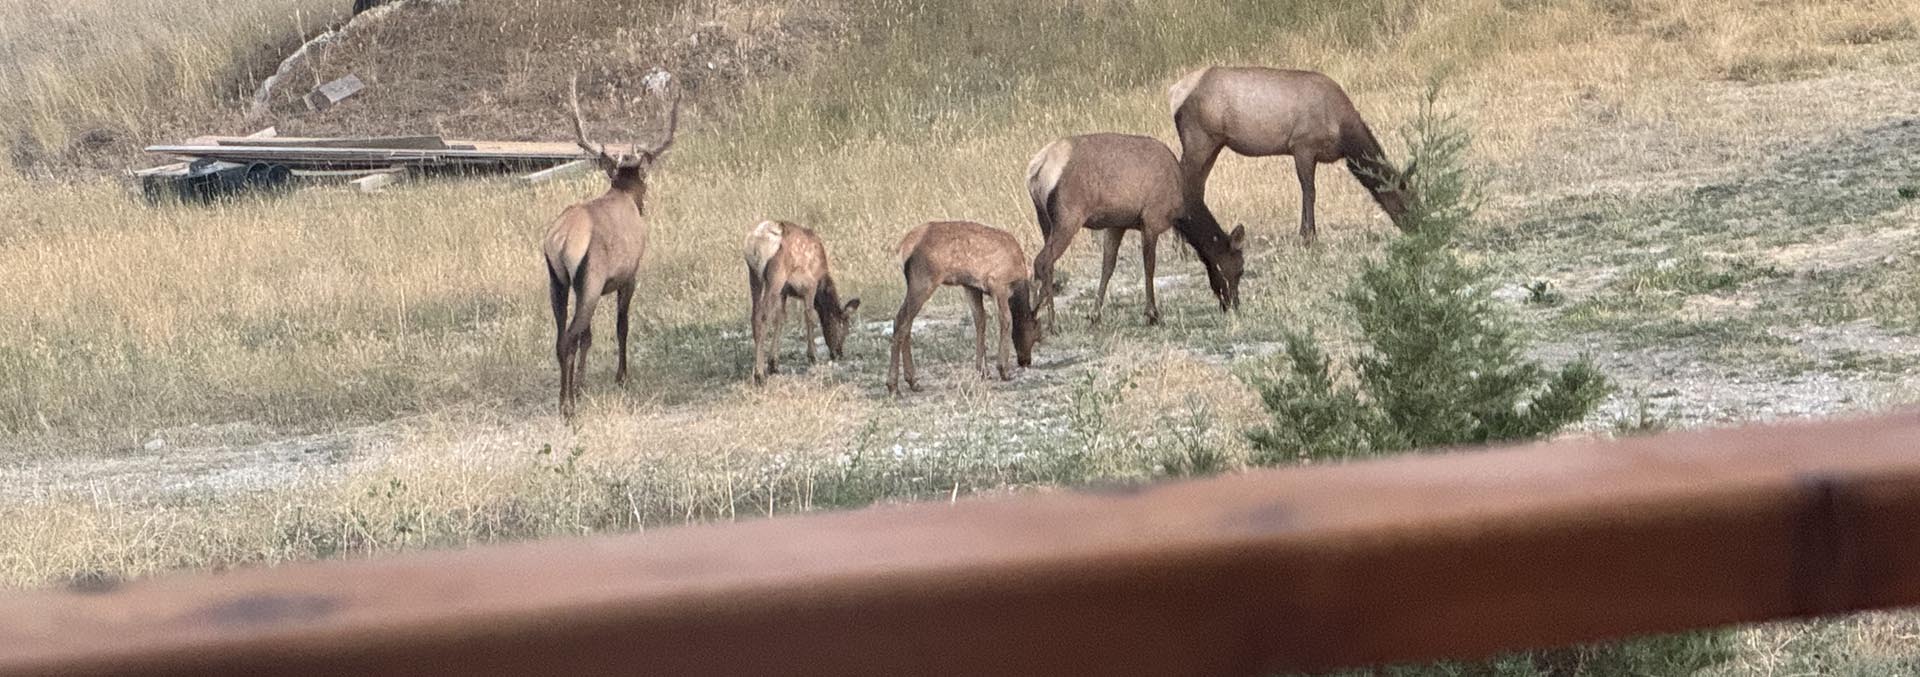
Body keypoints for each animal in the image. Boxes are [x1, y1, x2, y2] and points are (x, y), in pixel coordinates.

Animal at [542, 74, 681, 416]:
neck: (624, 194)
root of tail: (560, 241)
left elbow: (589, 337)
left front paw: (582, 385)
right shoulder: (630, 275)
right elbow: (622, 326)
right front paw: (621, 376)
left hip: (558, 282)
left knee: (562, 338)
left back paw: (566, 397)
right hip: (590, 280)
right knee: (569, 337)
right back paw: (567, 407)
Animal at [743, 219, 860, 384]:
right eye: (844, 327)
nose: (838, 353)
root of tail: (756, 243)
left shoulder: (784, 292)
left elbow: (780, 319)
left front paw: (774, 364)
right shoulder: (809, 286)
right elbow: (809, 317)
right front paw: (813, 356)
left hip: (754, 275)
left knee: (754, 316)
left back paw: (758, 370)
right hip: (776, 276)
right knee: (763, 316)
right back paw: (759, 374)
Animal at [886, 221, 1040, 394]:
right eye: (1036, 333)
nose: (1026, 361)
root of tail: (903, 247)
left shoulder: (971, 287)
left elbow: (980, 321)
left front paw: (983, 371)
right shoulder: (998, 283)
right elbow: (1006, 320)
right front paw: (1003, 370)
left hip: (915, 283)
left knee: (907, 323)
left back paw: (913, 381)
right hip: (924, 280)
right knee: (901, 320)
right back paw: (894, 385)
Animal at [1026, 132, 1247, 326]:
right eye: (1240, 269)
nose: (1234, 304)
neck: (1182, 208)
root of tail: (1037, 168)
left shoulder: (1117, 224)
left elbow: (1108, 266)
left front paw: (1095, 315)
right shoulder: (1152, 220)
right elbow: (1149, 266)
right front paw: (1152, 314)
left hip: (1044, 219)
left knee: (1049, 264)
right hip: (1069, 217)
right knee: (1042, 261)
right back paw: (1046, 318)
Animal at [1169, 66, 1415, 245]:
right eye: (1405, 199)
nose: (1417, 224)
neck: (1343, 132)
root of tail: (1174, 94)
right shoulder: (1302, 145)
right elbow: (1309, 191)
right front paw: (1308, 236)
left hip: (1214, 144)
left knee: (1198, 187)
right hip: (1199, 139)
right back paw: (1181, 246)